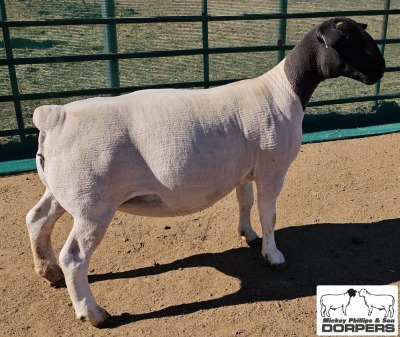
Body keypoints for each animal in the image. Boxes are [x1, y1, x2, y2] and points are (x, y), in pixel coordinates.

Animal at [25, 16, 384, 326]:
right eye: (350, 40)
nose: (380, 70)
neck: (284, 91)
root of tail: (54, 117)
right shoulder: (272, 168)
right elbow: (269, 215)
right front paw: (273, 255)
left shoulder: (245, 170)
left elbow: (245, 203)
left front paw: (248, 235)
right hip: (93, 205)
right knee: (74, 257)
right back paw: (94, 313)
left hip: (62, 190)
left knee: (37, 220)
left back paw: (49, 272)